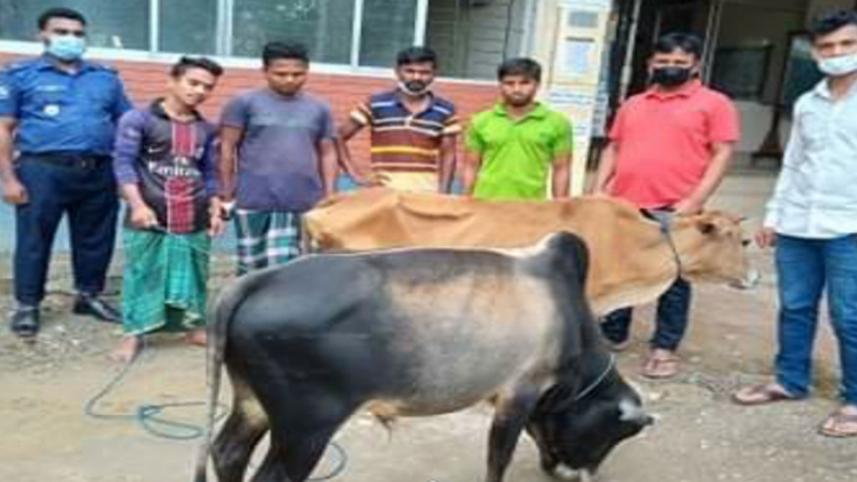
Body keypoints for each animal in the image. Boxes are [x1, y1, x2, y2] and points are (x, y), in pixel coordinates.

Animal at [193, 232, 653, 482]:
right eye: (612, 433)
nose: (579, 473)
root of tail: (254, 280)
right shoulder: (519, 392)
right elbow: (498, 457)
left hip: (253, 402)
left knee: (227, 452)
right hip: (305, 427)